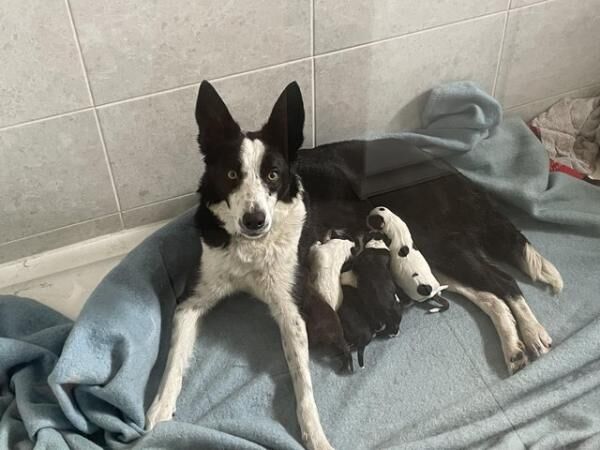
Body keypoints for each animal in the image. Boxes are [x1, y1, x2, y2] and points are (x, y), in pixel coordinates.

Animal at [145, 81, 332, 450]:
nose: (254, 220)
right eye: (232, 174)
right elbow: (174, 361)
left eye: (273, 175)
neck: (251, 247)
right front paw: (159, 409)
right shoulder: (190, 302)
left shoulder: (291, 309)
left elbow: (303, 382)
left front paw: (315, 434)